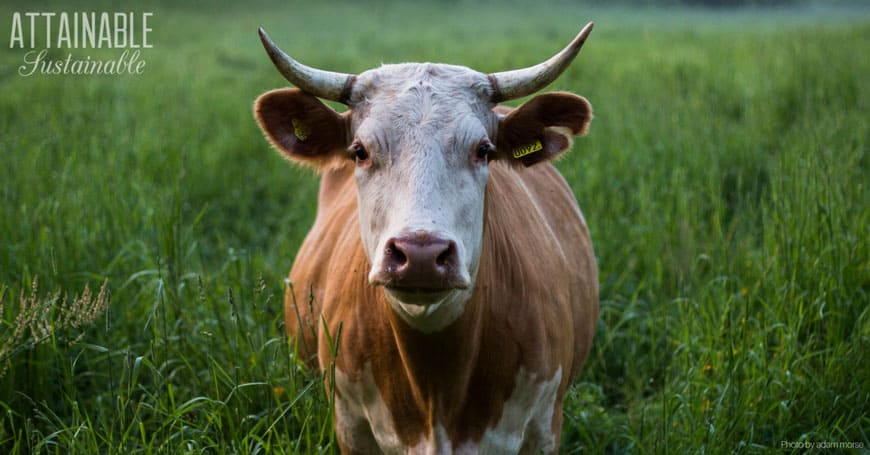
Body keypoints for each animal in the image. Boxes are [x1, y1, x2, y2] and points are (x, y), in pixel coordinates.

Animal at [254, 22, 600, 455]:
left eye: (483, 150)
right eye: (359, 151)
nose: (420, 253)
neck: (436, 390)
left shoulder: (543, 425)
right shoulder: (350, 425)